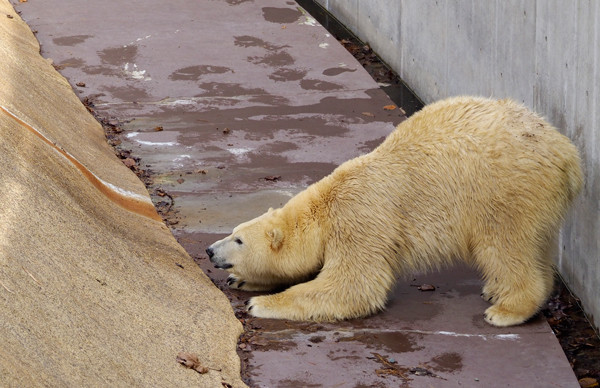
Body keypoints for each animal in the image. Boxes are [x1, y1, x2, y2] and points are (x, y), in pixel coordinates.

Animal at [205, 97, 580, 328]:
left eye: (238, 240)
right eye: (233, 232)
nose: (209, 251)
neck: (325, 206)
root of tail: (567, 153)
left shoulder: (359, 218)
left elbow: (354, 285)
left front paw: (262, 303)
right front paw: (242, 279)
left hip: (504, 190)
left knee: (504, 245)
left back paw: (506, 309)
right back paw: (497, 290)